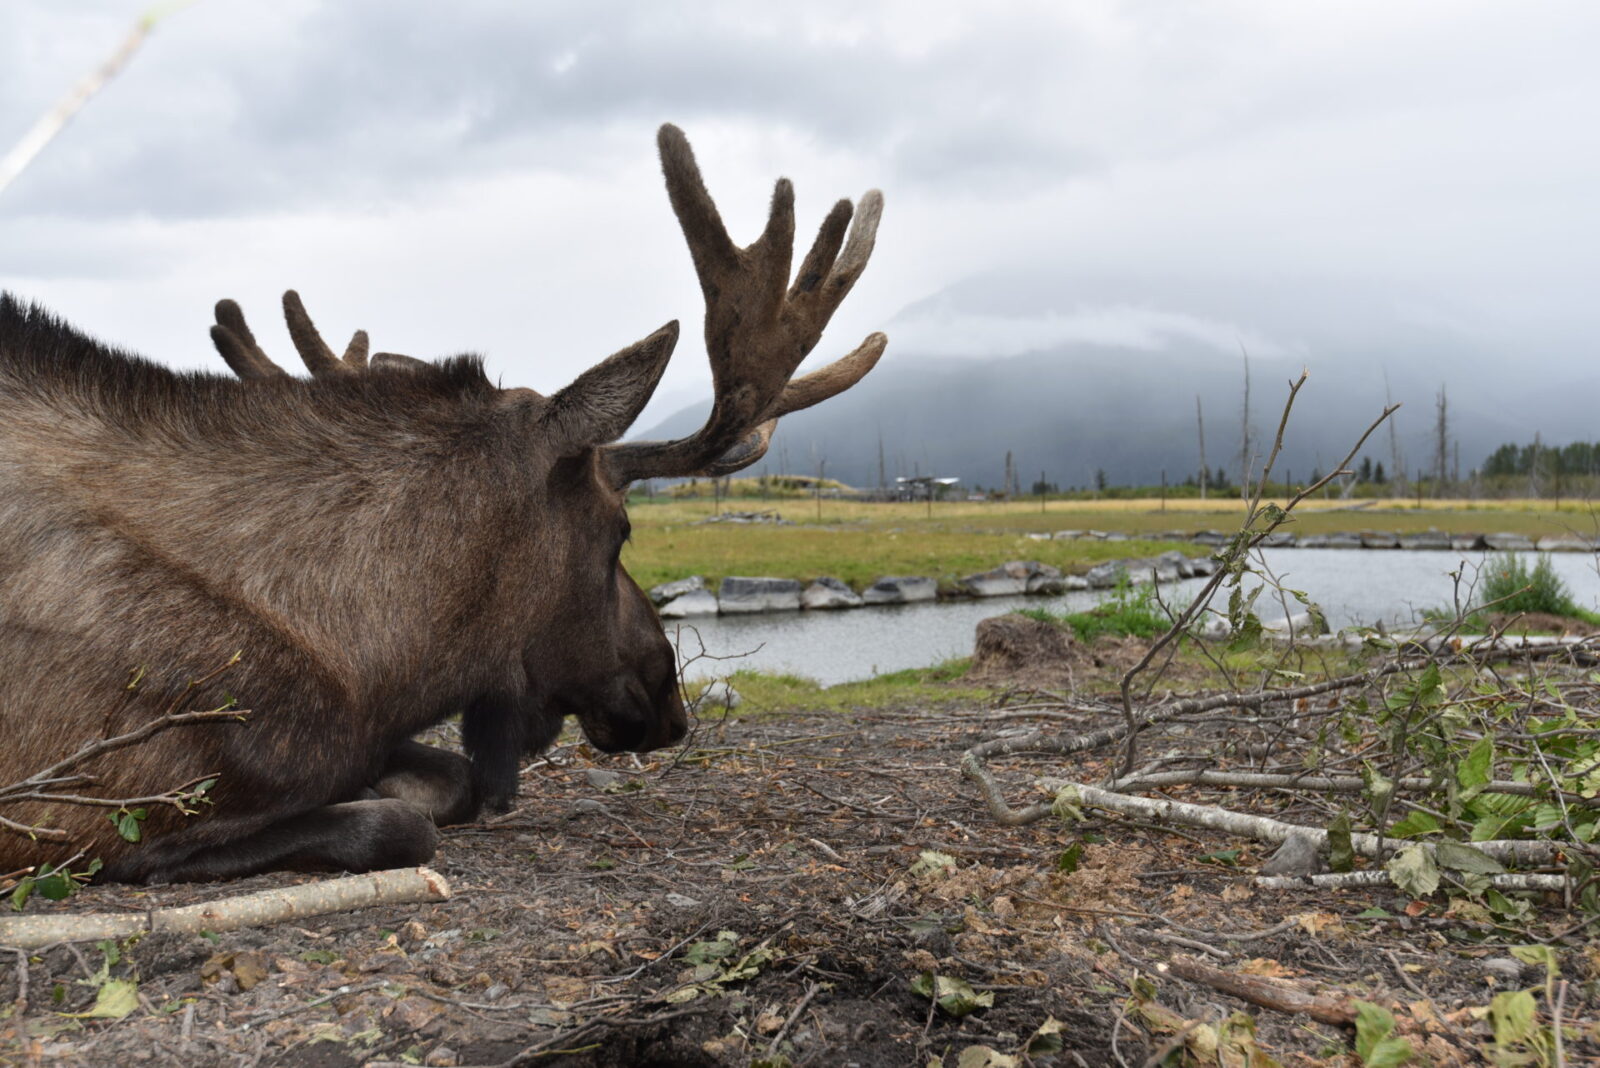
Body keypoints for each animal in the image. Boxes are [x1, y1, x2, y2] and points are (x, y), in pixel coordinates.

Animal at [0, 124, 884, 882]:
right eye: (620, 532)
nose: (669, 702)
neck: (370, 652)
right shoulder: (90, 808)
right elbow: (397, 824)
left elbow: (450, 779)